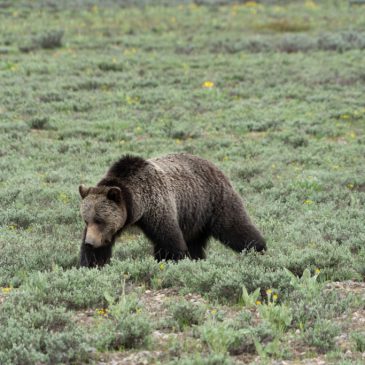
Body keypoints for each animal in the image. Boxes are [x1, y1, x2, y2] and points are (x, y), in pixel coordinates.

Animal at [79, 152, 264, 266]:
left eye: (100, 220)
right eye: (86, 220)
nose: (90, 242)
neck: (138, 206)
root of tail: (213, 165)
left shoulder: (158, 206)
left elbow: (168, 240)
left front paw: (170, 260)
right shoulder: (116, 224)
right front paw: (91, 262)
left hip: (214, 201)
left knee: (234, 227)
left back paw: (258, 248)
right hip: (194, 217)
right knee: (195, 242)